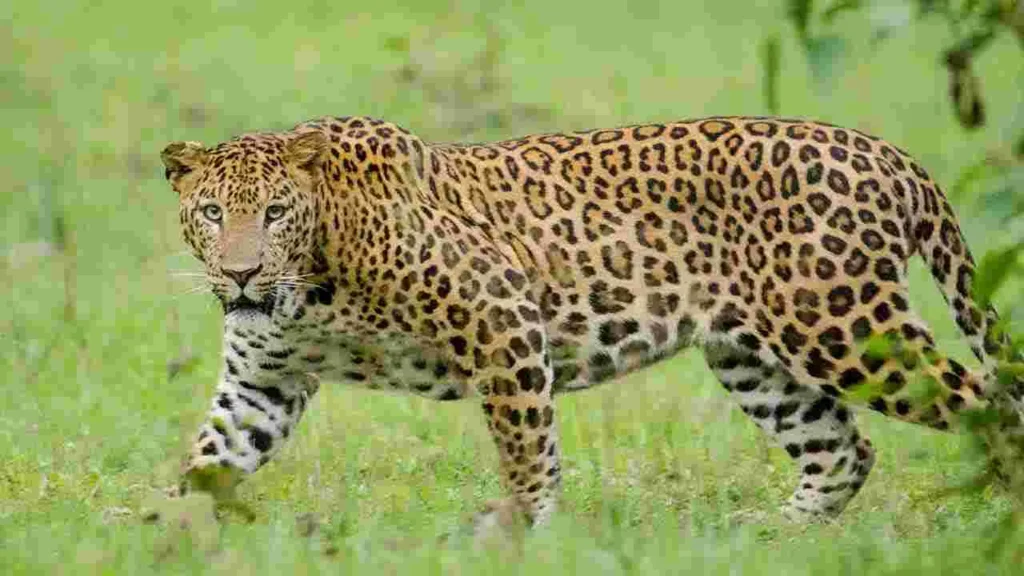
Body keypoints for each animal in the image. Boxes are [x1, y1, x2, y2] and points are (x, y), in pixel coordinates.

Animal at [160, 114, 1022, 527]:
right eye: (212, 213)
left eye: (275, 214)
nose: (241, 273)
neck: (310, 286)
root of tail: (889, 155)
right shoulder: (263, 384)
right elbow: (207, 463)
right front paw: (164, 537)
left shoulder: (502, 316)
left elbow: (526, 452)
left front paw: (521, 533)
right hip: (754, 356)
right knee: (842, 450)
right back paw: (770, 537)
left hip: (844, 328)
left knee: (991, 406)